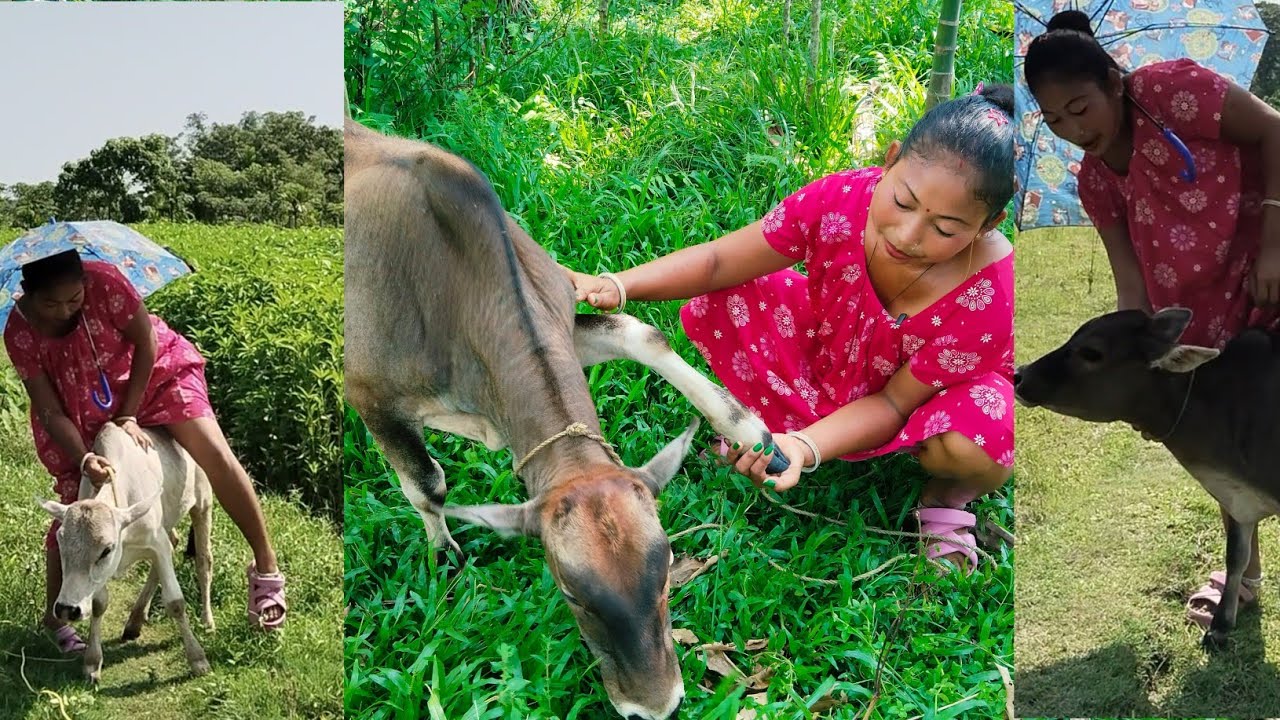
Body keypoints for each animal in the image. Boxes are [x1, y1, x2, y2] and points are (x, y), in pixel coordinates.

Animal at [38, 423, 214, 682]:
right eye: (60, 542)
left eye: (106, 550)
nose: (67, 609)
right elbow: (99, 603)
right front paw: (92, 663)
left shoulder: (156, 541)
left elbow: (175, 602)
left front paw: (198, 659)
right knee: (173, 544)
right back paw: (135, 621)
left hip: (203, 503)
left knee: (203, 561)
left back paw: (207, 620)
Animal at [344, 118, 790, 719]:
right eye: (571, 594)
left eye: (668, 570)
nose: (658, 708)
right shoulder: (372, 396)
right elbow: (427, 484)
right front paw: (444, 559)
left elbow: (640, 333)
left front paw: (752, 432)